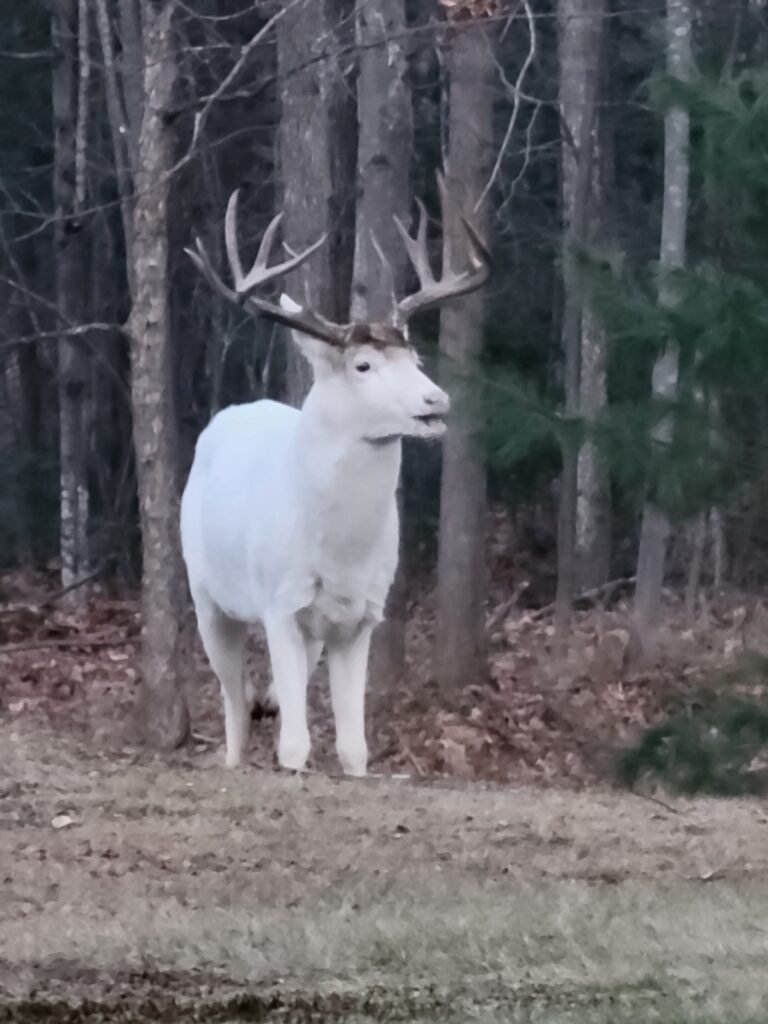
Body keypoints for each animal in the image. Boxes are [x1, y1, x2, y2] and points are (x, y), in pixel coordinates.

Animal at [181, 174, 490, 776]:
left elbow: (354, 747)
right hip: (208, 594)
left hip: (311, 631)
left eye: (415, 357)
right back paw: (235, 751)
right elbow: (295, 746)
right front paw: (289, 760)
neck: (341, 549)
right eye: (362, 365)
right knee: (232, 699)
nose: (435, 400)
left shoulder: (363, 616)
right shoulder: (279, 603)